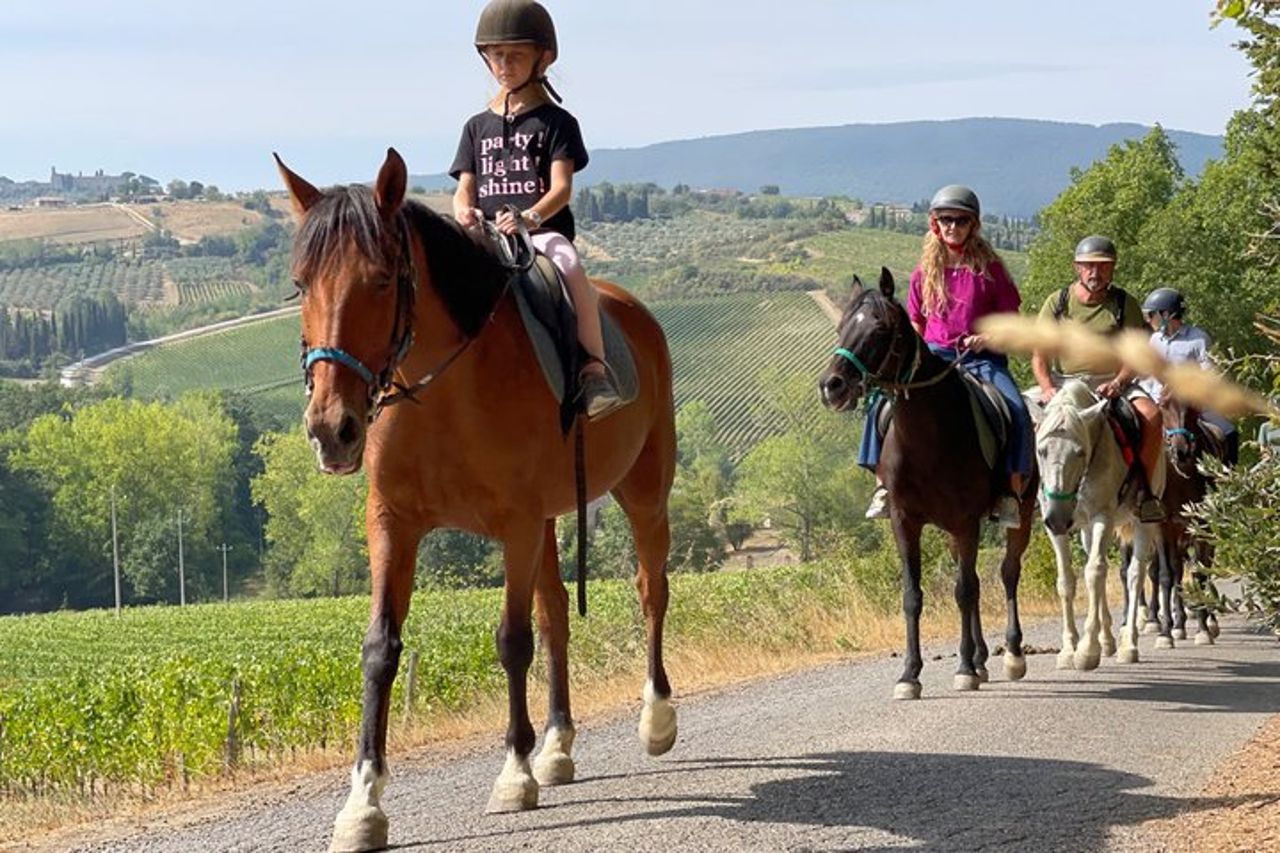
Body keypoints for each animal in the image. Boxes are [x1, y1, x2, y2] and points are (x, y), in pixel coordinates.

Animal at [276, 149, 678, 852]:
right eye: (302, 284)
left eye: (381, 281)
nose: (332, 430)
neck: (443, 391)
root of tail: (635, 313)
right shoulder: (393, 524)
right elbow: (380, 650)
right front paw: (362, 805)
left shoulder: (515, 524)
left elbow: (512, 640)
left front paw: (514, 775)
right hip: (550, 519)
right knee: (557, 615)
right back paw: (557, 745)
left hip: (644, 492)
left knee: (650, 590)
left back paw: (655, 719)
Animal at [818, 268, 1038, 700]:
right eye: (841, 326)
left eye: (880, 328)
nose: (831, 386)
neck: (927, 435)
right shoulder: (905, 521)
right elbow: (914, 595)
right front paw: (910, 674)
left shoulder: (967, 521)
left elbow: (964, 590)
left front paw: (964, 669)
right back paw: (982, 657)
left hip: (1018, 513)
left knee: (1007, 573)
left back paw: (1010, 655)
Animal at [1035, 379, 1167, 670]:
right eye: (1041, 451)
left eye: (1080, 452)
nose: (1059, 518)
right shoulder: (1057, 528)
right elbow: (1067, 580)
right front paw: (1069, 649)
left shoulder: (1101, 518)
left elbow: (1094, 573)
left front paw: (1087, 650)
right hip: (1085, 529)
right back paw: (1107, 640)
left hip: (1142, 521)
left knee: (1135, 574)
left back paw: (1128, 644)